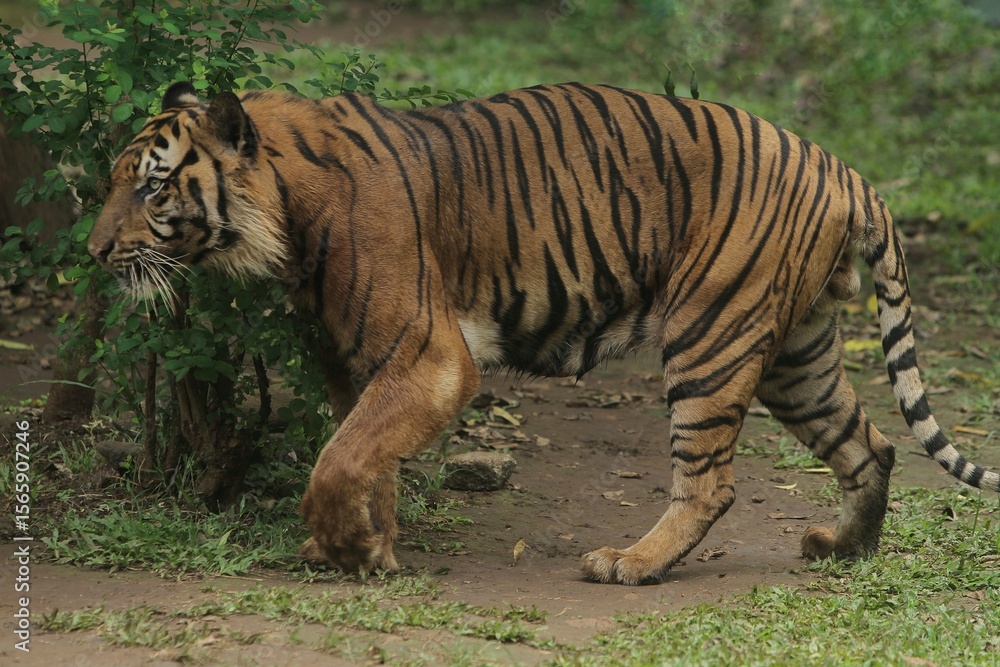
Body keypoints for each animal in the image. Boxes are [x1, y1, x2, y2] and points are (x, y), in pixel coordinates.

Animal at [88, 80, 999, 585]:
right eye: (114, 183)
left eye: (152, 188)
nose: (94, 252)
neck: (287, 215)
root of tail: (844, 168)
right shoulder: (353, 360)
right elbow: (363, 454)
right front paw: (367, 548)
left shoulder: (430, 354)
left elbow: (340, 458)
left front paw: (350, 549)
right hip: (795, 353)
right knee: (871, 446)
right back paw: (842, 547)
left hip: (712, 336)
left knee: (710, 481)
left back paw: (633, 563)